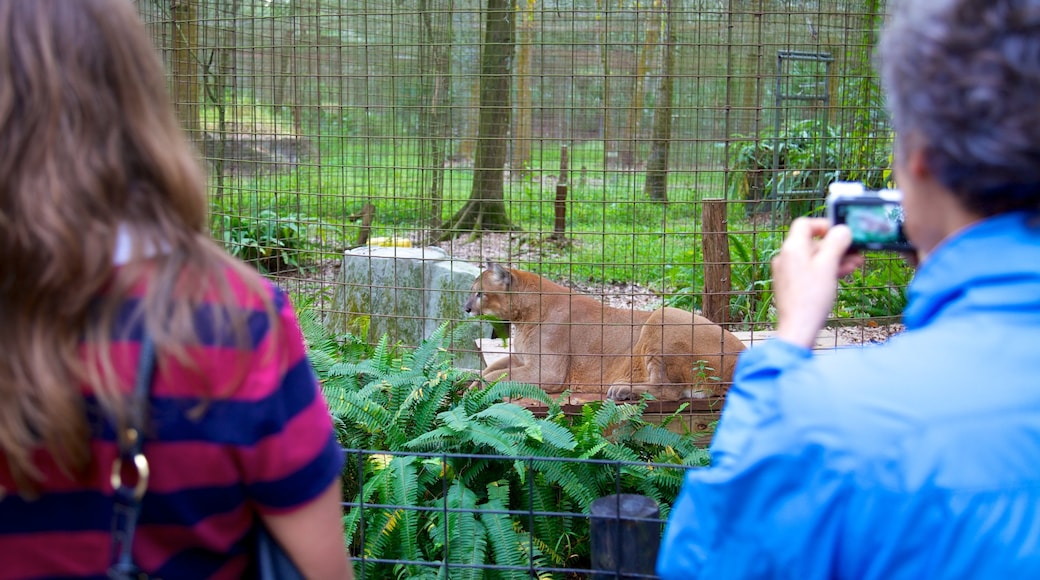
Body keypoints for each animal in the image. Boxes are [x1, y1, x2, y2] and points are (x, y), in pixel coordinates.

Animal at [465, 262, 748, 399]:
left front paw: (472, 388)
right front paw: (469, 379)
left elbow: (495, 376)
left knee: (669, 390)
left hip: (662, 316)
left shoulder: (547, 371)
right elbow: (493, 367)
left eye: (479, 293)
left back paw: (622, 389)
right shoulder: (525, 358)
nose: (466, 308)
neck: (523, 317)